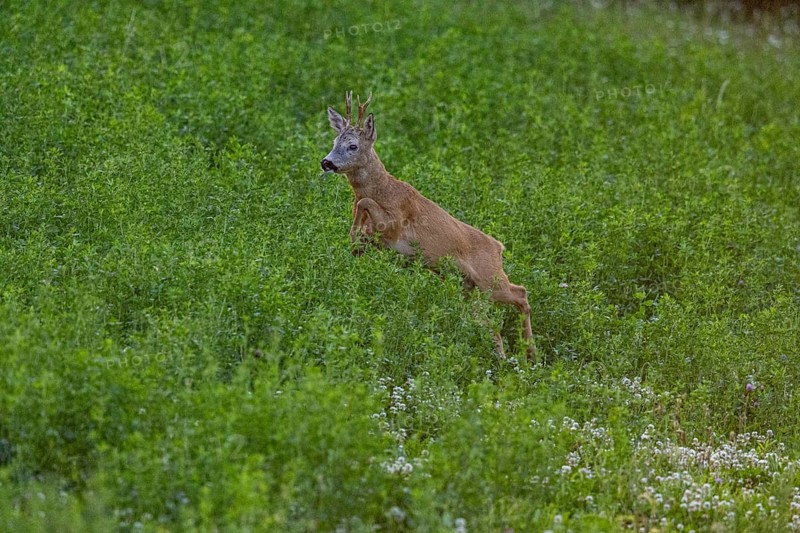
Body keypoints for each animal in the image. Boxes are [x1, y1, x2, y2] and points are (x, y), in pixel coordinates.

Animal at [320, 91, 536, 361]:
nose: (326, 162)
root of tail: (499, 246)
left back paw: (530, 355)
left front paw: (354, 235)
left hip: (490, 278)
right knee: (490, 319)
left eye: (353, 146)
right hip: (467, 287)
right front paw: (354, 243)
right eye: (334, 141)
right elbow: (361, 215)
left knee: (521, 293)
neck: (384, 189)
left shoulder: (394, 224)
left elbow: (365, 203)